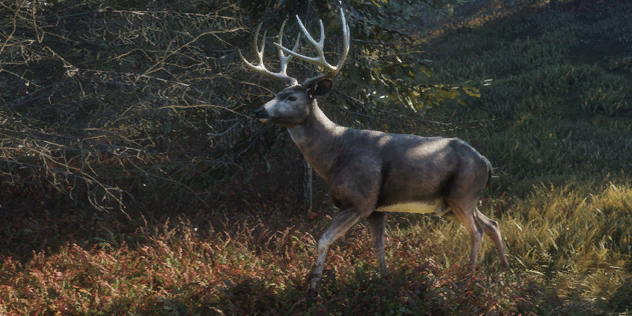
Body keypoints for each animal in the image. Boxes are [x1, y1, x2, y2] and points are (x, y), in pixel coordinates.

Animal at [239, 7, 512, 290]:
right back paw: (505, 270)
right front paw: (384, 280)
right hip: (452, 202)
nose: (258, 111)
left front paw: (313, 287)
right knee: (492, 223)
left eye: (292, 97)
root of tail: (486, 162)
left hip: (463, 193)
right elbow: (378, 245)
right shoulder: (377, 209)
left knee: (477, 231)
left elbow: (324, 239)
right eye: (276, 94)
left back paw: (468, 279)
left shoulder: (361, 201)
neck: (336, 153)